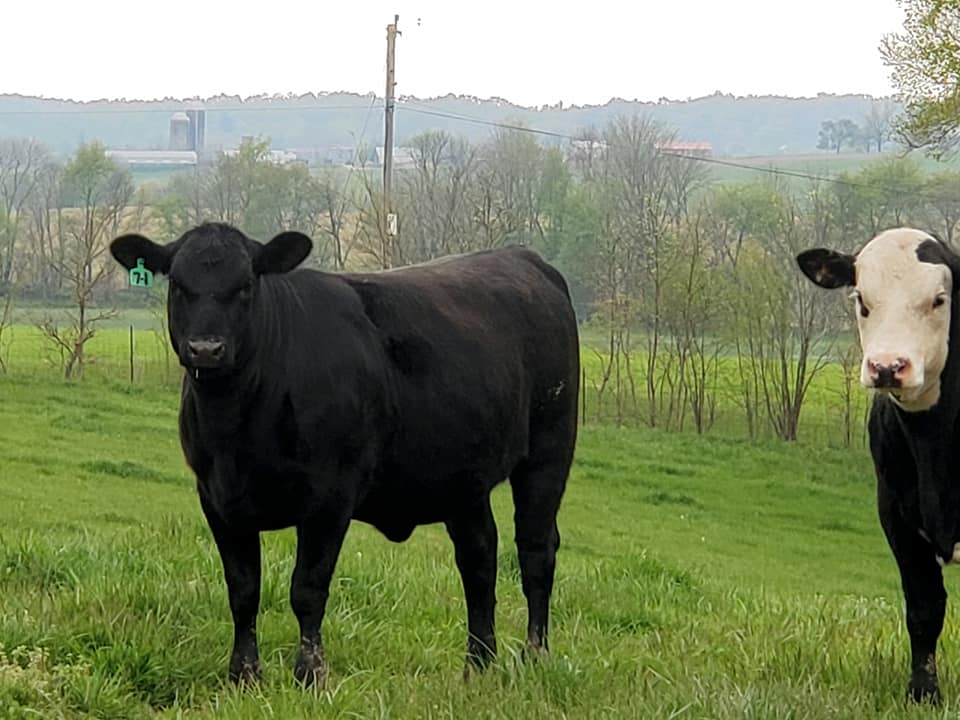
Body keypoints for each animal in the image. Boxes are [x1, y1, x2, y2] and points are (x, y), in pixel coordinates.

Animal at [109, 222, 579, 687]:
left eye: (245, 285)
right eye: (178, 284)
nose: (206, 349)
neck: (236, 428)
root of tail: (523, 257)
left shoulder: (329, 496)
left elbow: (307, 589)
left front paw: (310, 675)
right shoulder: (217, 498)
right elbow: (243, 590)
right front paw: (244, 674)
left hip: (550, 448)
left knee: (535, 549)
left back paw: (534, 656)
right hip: (462, 478)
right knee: (478, 558)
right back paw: (478, 666)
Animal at [797, 227, 960, 704]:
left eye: (939, 299)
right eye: (862, 301)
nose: (888, 366)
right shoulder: (895, 512)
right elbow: (924, 607)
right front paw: (923, 693)